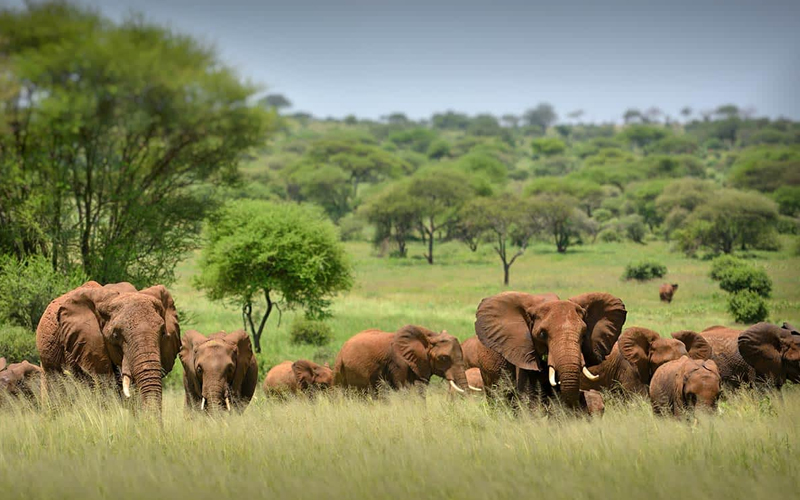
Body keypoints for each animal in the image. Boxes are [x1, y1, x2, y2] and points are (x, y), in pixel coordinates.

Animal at [332, 324, 476, 394]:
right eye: (443, 358)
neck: (429, 336)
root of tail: (341, 350)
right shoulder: (397, 362)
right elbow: (404, 388)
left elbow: (420, 389)